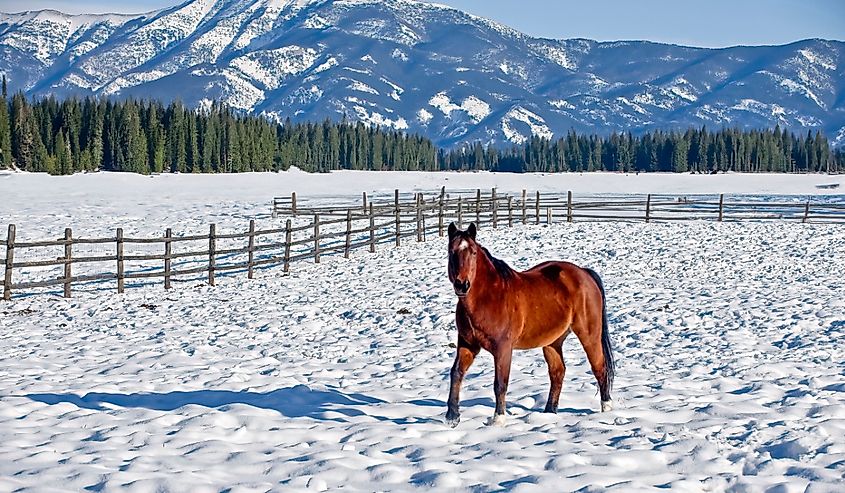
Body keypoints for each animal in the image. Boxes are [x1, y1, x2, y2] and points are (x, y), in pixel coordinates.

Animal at [442, 223, 612, 426]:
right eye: (451, 252)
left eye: (473, 252)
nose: (462, 285)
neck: (489, 297)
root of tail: (584, 273)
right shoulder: (467, 344)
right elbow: (456, 373)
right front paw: (452, 417)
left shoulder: (503, 348)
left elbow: (500, 383)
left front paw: (498, 419)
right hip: (552, 342)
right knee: (558, 372)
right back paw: (549, 413)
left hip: (589, 335)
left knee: (599, 368)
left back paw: (606, 410)